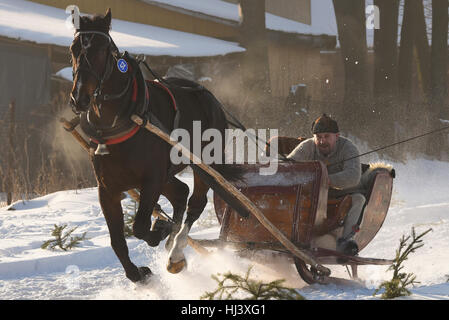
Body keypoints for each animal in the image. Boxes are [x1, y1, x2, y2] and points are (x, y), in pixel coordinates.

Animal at [69, 8, 245, 282]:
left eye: (101, 48)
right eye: (73, 48)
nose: (79, 98)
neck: (122, 119)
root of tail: (210, 98)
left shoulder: (151, 179)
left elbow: (140, 227)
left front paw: (160, 229)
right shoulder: (107, 189)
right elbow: (117, 241)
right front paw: (136, 274)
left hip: (203, 164)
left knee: (195, 203)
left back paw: (176, 252)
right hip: (167, 174)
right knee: (181, 193)